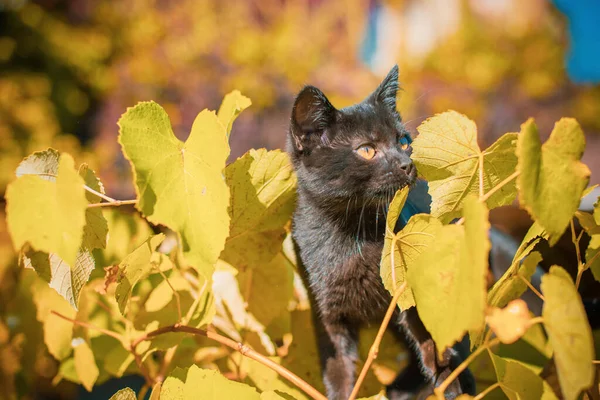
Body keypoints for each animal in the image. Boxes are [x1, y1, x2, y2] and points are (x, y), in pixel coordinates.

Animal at [286, 66, 474, 400]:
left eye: (403, 140)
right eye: (366, 150)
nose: (407, 163)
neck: (353, 235)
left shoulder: (407, 286)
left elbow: (428, 327)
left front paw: (448, 374)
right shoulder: (326, 313)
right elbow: (337, 368)